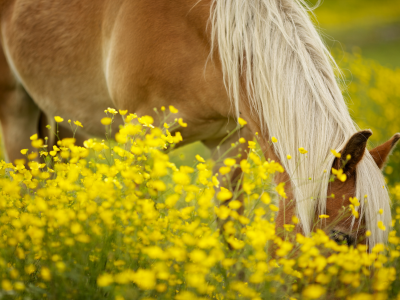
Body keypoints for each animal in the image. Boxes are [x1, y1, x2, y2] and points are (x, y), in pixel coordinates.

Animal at [0, 0, 396, 247]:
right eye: (341, 237)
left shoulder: (230, 143)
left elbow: (229, 231)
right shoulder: (141, 140)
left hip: (67, 125)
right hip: (17, 112)